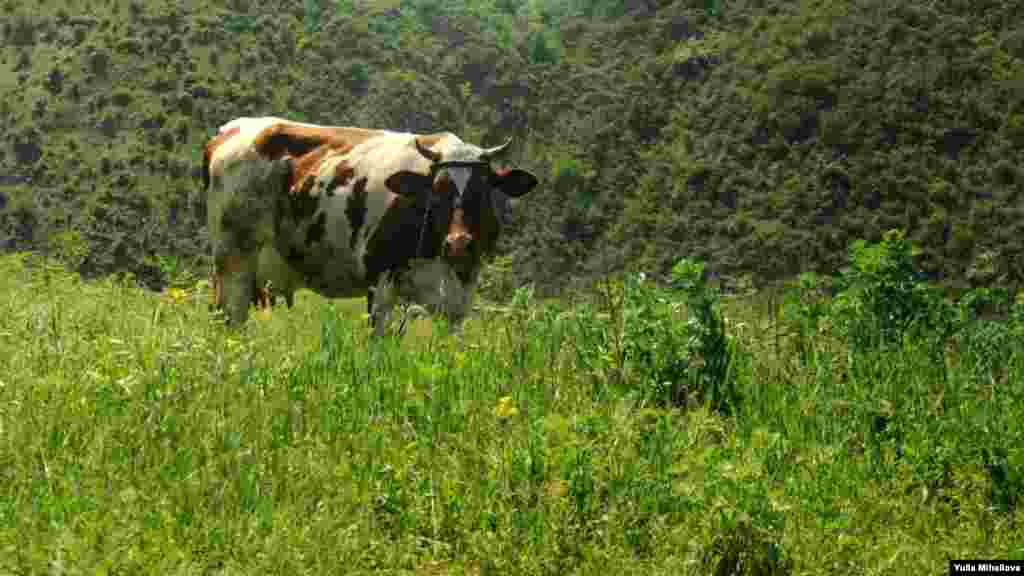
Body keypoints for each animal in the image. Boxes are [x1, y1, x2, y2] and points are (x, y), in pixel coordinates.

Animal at [197, 115, 536, 332]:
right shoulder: (380, 278)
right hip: (233, 259)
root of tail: (228, 130)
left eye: (483, 191)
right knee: (230, 318)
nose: (459, 243)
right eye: (437, 191)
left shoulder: (459, 294)